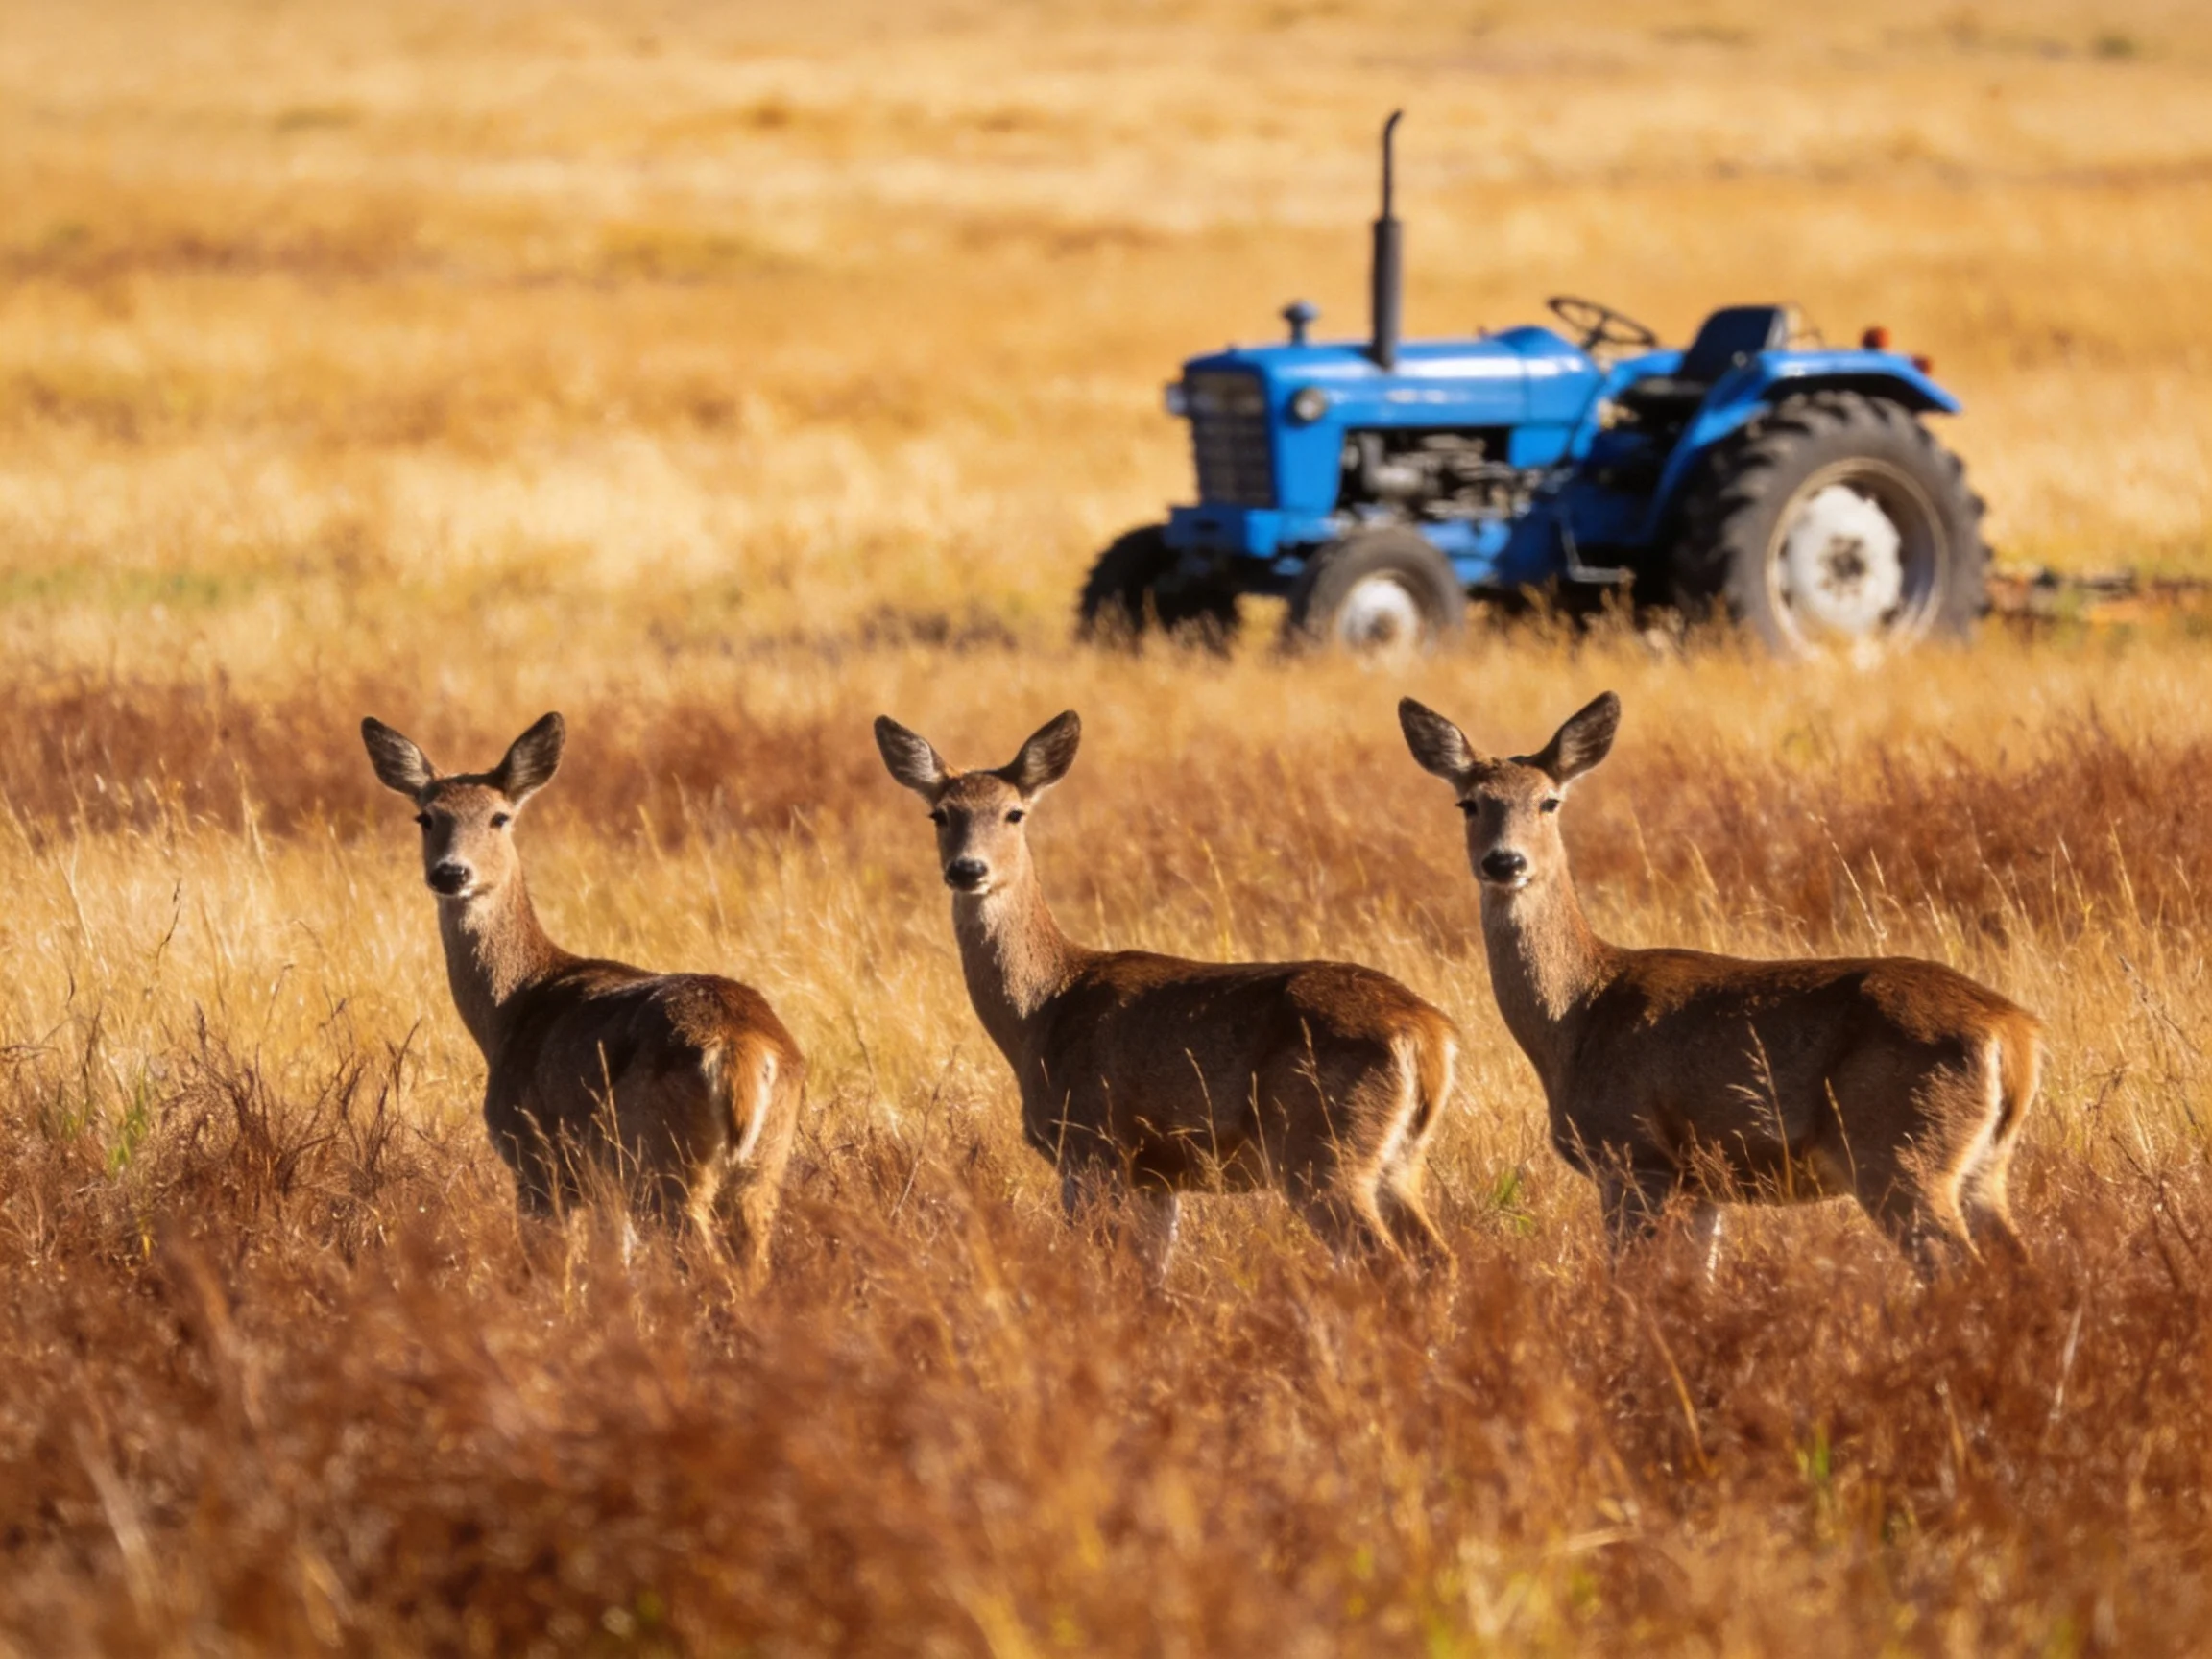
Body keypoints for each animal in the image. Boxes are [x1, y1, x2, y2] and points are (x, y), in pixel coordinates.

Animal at [361, 712, 804, 1283]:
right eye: (426, 816)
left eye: (500, 817)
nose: (451, 873)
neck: (514, 1007)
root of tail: (745, 1046)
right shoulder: (603, 1189)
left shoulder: (536, 1159)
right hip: (760, 1168)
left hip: (663, 1160)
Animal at [874, 709, 1461, 1279]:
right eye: (940, 814)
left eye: (1014, 813)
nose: (967, 869)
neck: (1043, 1009)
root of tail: (1427, 1031)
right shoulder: (1157, 1176)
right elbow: (1154, 1275)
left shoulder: (1091, 1143)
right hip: (1398, 1159)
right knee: (1439, 1257)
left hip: (1320, 1146)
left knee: (1382, 1259)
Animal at [1398, 691, 2042, 1278]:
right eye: (1468, 802)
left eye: (1549, 801)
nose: (1505, 862)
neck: (1576, 1015)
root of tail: (2014, 1031)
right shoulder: (1702, 1183)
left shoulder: (1633, 1156)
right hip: (1982, 1166)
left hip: (1899, 1151)